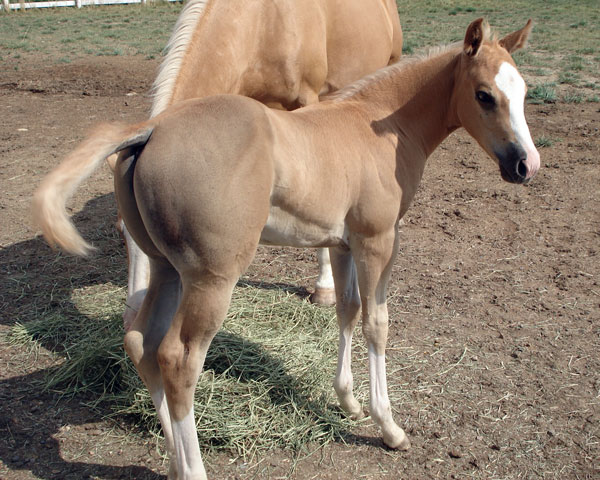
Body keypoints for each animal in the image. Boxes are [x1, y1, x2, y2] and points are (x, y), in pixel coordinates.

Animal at [113, 0, 404, 328]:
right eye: (122, 232)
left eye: (160, 239)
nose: (132, 324)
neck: (265, 20)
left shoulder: (309, 100)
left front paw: (324, 289)